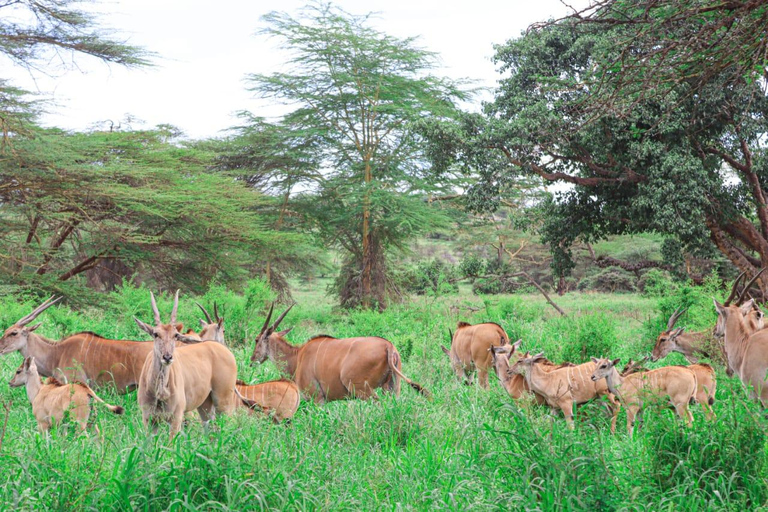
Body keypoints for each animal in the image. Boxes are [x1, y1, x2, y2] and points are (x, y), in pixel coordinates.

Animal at [135, 290, 237, 438]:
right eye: (155, 334)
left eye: (175, 335)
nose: (167, 357)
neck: (159, 392)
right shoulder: (149, 418)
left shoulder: (176, 417)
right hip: (205, 406)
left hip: (224, 401)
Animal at [252, 304, 432, 404]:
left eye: (256, 339)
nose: (252, 360)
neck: (297, 356)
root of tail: (389, 346)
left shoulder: (317, 398)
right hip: (393, 387)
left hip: (361, 389)